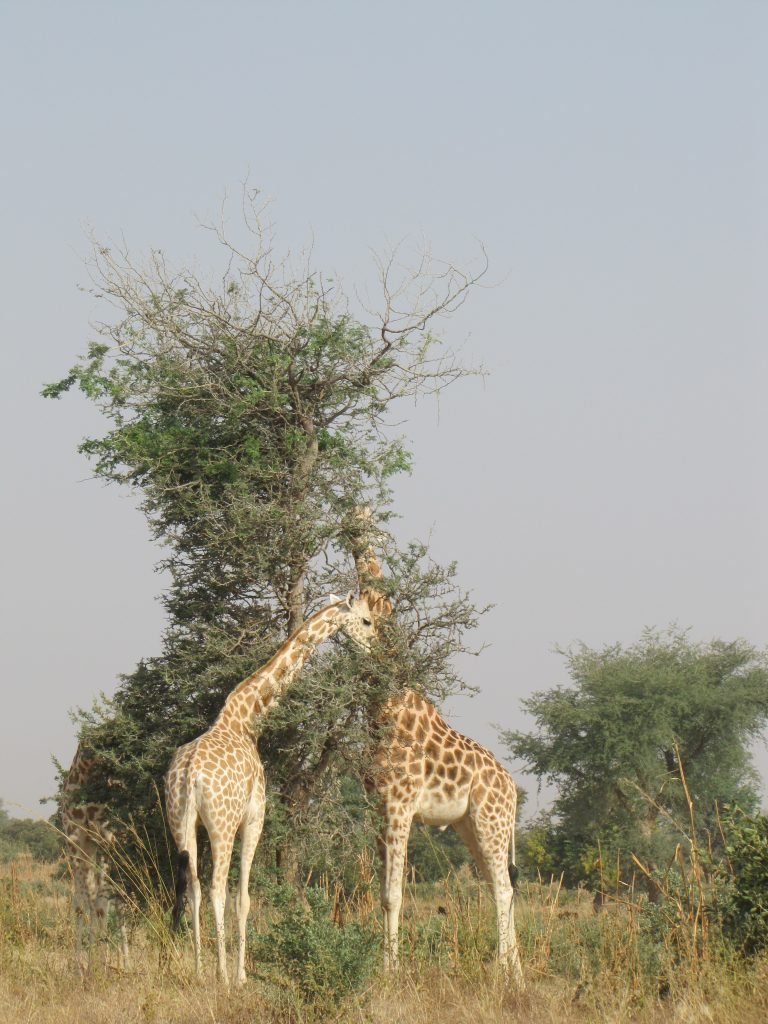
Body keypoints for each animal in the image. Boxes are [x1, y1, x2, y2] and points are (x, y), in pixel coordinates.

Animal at [59, 745, 132, 966]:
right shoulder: (76, 840)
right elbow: (81, 905)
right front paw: (82, 967)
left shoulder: (107, 839)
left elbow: (100, 904)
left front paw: (101, 963)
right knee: (101, 899)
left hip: (116, 845)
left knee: (116, 900)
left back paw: (124, 962)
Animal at [165, 593, 376, 983]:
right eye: (367, 620)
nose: (375, 646)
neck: (249, 720)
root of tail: (188, 775)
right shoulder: (254, 817)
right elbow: (244, 898)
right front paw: (241, 975)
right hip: (221, 825)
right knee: (217, 888)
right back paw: (222, 975)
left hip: (180, 822)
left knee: (195, 887)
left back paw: (200, 970)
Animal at [350, 516, 528, 987]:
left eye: (367, 619)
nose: (352, 522)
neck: (386, 707)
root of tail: (513, 790)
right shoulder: (378, 807)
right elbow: (383, 892)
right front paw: (385, 963)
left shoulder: (400, 805)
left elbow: (395, 894)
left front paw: (390, 970)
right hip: (471, 825)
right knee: (498, 887)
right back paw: (516, 973)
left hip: (490, 822)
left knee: (503, 888)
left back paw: (501, 971)